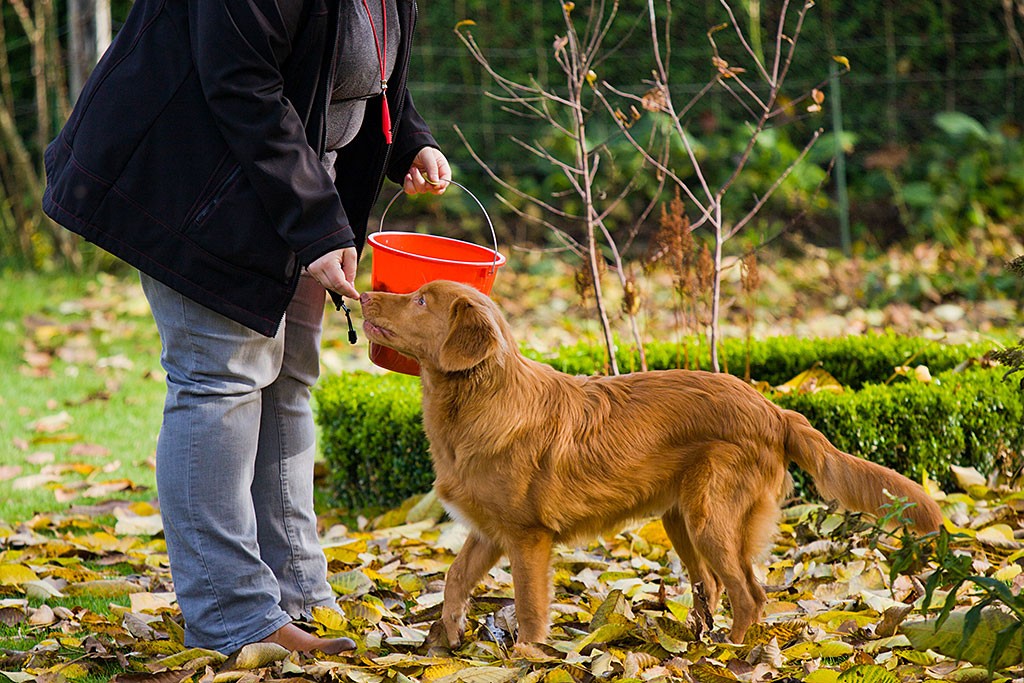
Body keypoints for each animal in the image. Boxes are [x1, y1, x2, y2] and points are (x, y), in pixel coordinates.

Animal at [360, 280, 942, 651]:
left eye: (419, 300)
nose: (363, 292)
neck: (481, 397)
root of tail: (774, 409)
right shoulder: (488, 533)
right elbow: (454, 579)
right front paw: (450, 633)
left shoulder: (527, 539)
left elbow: (529, 608)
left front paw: (529, 656)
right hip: (681, 520)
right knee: (715, 588)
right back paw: (698, 639)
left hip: (709, 520)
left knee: (749, 595)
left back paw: (728, 654)